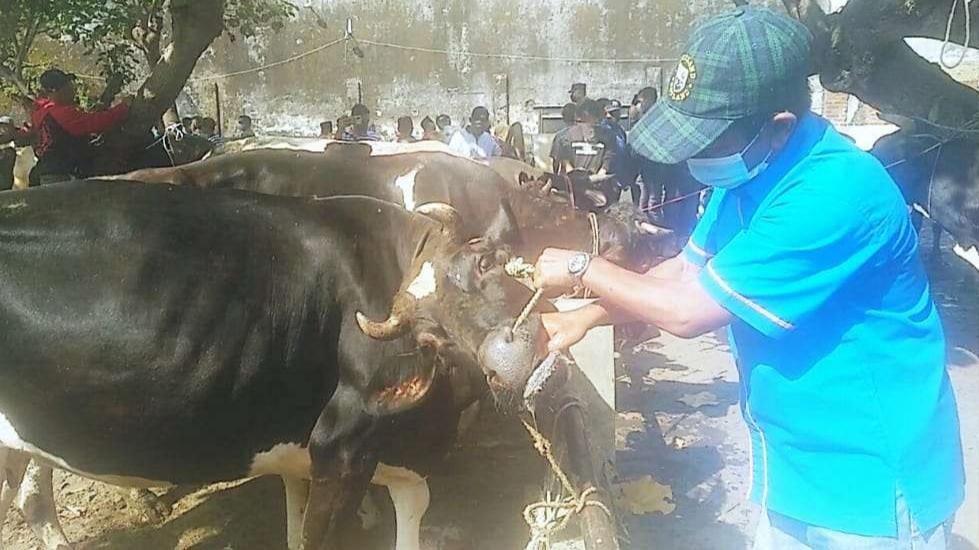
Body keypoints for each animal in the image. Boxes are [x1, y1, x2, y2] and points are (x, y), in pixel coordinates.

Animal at [0, 179, 552, 548]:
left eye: (486, 265)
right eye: (432, 338)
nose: (509, 358)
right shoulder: (340, 449)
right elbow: (325, 533)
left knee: (30, 498)